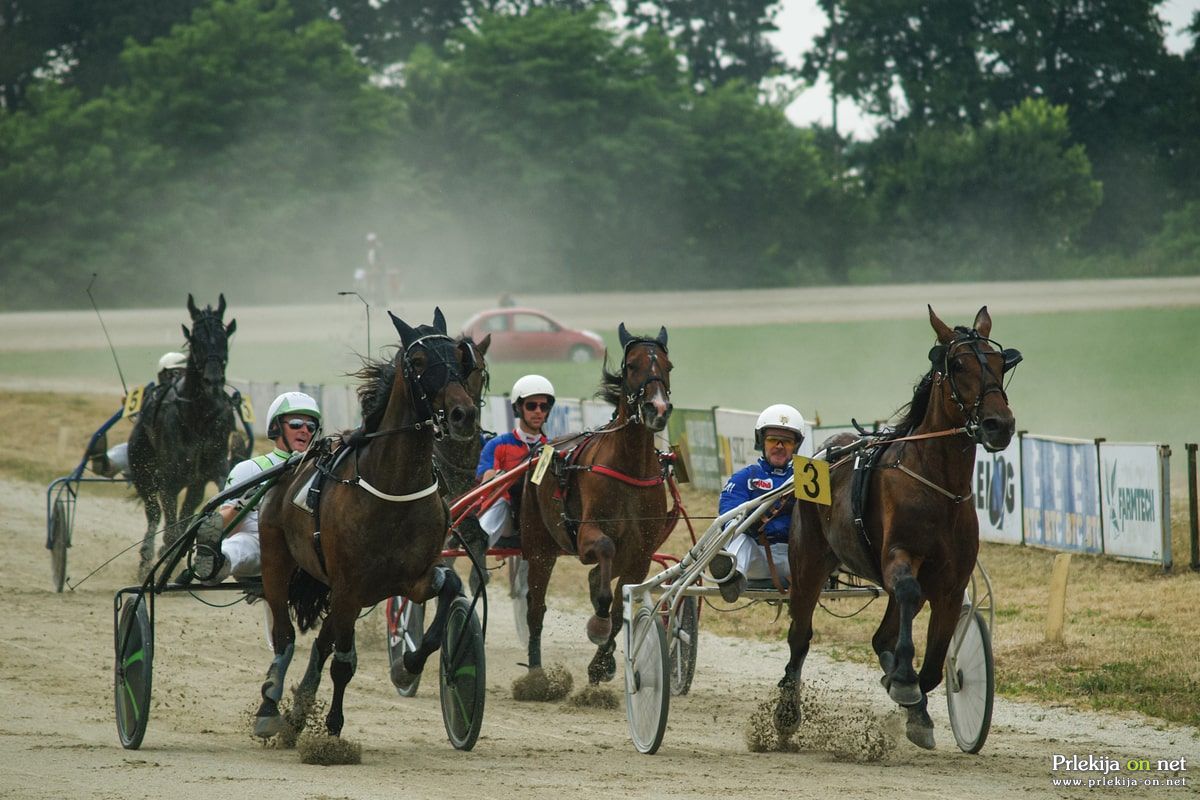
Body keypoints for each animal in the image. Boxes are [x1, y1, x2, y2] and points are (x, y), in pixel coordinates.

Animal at [127, 293, 237, 575]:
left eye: (223, 338)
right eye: (196, 340)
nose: (213, 381)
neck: (198, 416)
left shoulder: (215, 468)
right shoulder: (168, 480)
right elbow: (170, 528)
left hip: (194, 482)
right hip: (142, 468)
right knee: (154, 512)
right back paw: (147, 558)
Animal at [253, 307, 477, 738]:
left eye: (461, 358)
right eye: (418, 361)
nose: (464, 414)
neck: (393, 486)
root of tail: (287, 470)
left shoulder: (411, 578)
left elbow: (451, 586)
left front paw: (409, 664)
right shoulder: (349, 585)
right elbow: (343, 663)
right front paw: (332, 731)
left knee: (322, 641)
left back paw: (298, 710)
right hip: (277, 560)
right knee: (285, 637)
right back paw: (270, 709)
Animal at [520, 321, 676, 686]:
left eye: (668, 366)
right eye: (631, 365)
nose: (658, 408)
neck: (630, 468)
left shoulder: (641, 553)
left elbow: (620, 609)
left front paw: (601, 664)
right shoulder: (588, 535)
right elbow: (604, 554)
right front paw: (599, 626)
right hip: (539, 545)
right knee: (536, 607)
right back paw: (536, 675)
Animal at [777, 307, 1022, 753]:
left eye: (1000, 363)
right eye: (958, 365)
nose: (1000, 424)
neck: (940, 485)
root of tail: (825, 451)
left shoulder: (950, 583)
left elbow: (935, 663)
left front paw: (911, 696)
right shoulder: (899, 556)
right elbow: (907, 593)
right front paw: (904, 681)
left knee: (882, 636)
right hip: (808, 562)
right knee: (800, 636)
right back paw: (786, 713)